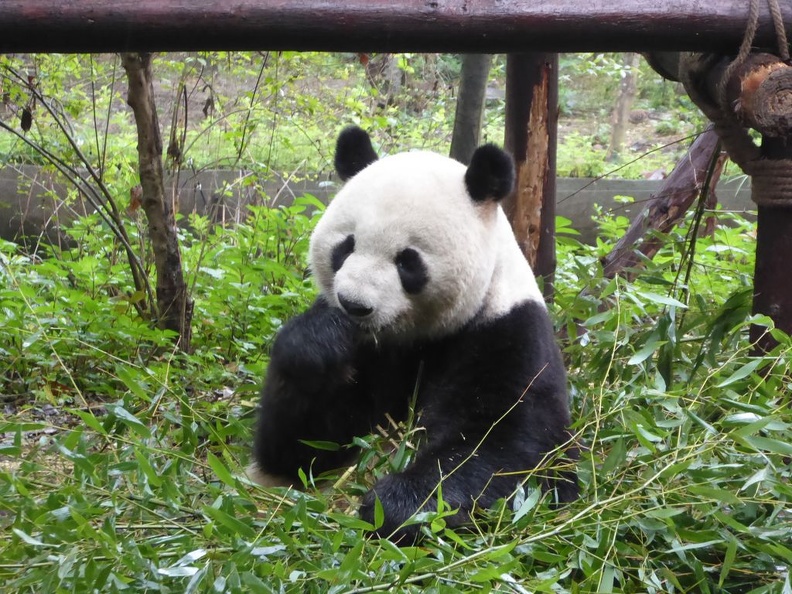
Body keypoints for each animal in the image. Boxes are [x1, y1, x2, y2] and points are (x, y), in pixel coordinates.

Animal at [251, 126, 580, 540]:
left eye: (407, 261)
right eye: (346, 246)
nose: (354, 304)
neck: (411, 335)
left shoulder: (509, 332)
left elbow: (510, 442)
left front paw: (396, 504)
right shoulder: (372, 352)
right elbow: (300, 451)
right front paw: (320, 341)